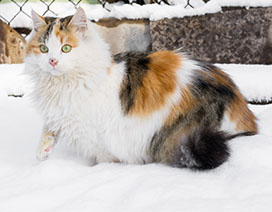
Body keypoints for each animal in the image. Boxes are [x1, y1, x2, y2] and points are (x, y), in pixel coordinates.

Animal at [25, 7, 258, 171]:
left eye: (66, 48)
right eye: (43, 49)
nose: (52, 61)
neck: (63, 84)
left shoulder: (100, 140)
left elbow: (102, 161)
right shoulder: (60, 113)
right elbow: (49, 128)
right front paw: (42, 150)